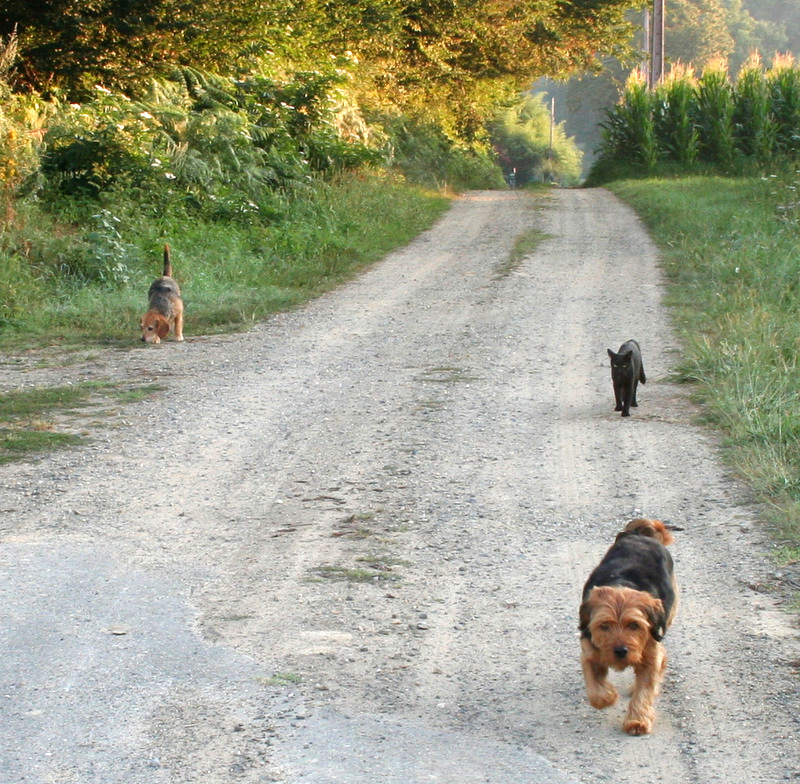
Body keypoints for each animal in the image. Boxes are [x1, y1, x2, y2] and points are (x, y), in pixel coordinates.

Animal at [579, 518, 678, 735]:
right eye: (604, 625)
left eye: (634, 625)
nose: (621, 651)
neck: (621, 586)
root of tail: (642, 535)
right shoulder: (589, 650)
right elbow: (594, 687)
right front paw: (607, 696)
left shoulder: (650, 653)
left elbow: (645, 689)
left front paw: (637, 721)